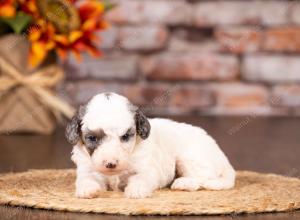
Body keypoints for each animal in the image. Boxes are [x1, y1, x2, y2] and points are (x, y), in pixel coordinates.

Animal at [65, 92, 234, 199]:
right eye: (92, 138)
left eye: (125, 136)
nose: (110, 164)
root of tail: (224, 159)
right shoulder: (87, 169)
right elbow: (86, 179)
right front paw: (87, 190)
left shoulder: (147, 169)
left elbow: (141, 177)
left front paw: (136, 190)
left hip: (190, 158)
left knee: (203, 178)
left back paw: (183, 182)